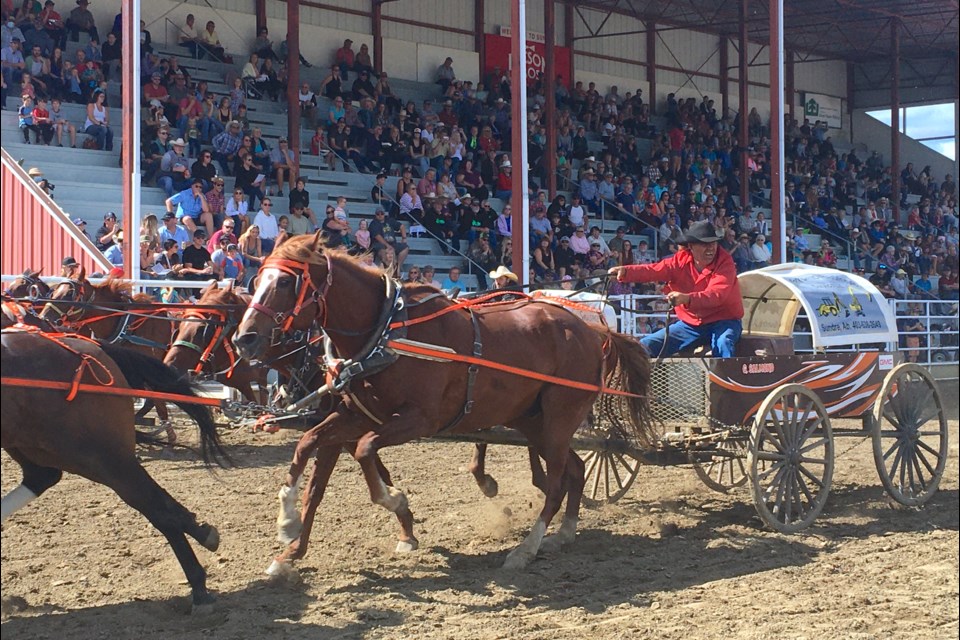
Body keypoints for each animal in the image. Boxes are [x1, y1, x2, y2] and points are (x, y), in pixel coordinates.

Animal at [0, 330, 230, 608]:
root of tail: (91, 347)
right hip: (39, 446)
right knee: (42, 476)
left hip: (100, 455)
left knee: (156, 506)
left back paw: (198, 582)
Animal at [233, 235, 656, 576]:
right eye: (256, 280)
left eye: (286, 281)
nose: (243, 339)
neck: (387, 331)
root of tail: (594, 329)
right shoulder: (354, 415)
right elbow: (310, 454)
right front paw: (287, 533)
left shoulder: (418, 420)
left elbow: (365, 450)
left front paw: (394, 502)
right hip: (534, 421)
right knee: (576, 469)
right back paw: (565, 532)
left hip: (558, 418)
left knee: (555, 483)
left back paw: (527, 548)